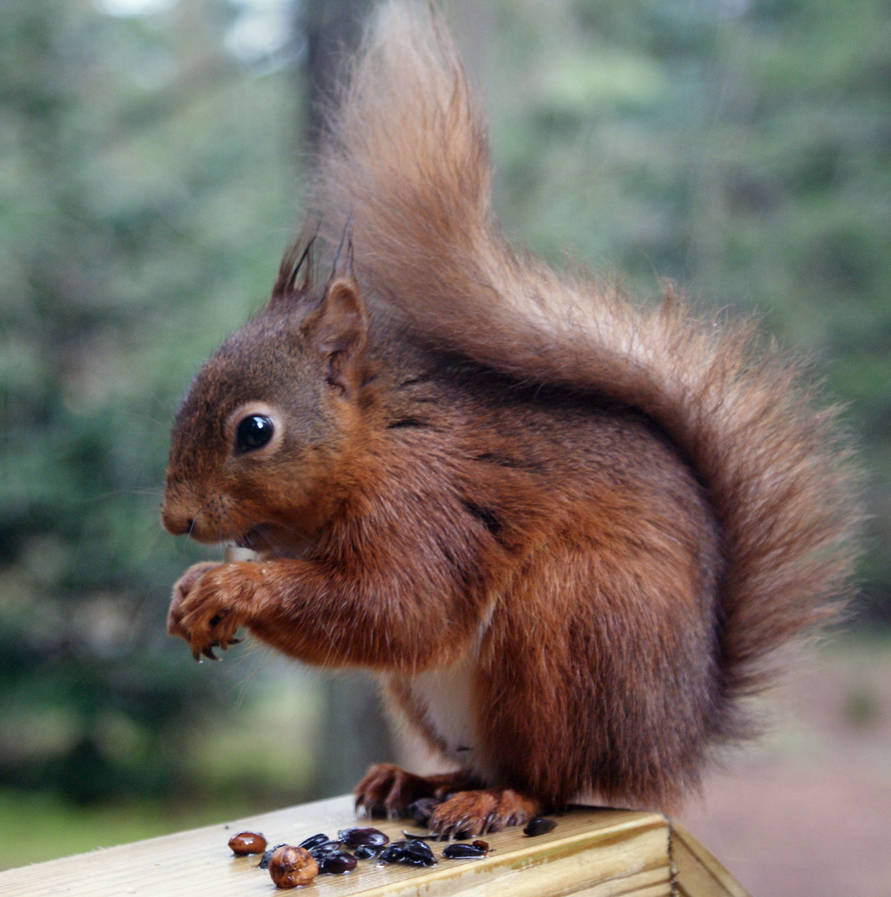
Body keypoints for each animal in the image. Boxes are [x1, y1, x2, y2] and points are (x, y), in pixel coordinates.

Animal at [162, 3, 864, 836]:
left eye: (255, 431)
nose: (175, 519)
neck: (375, 447)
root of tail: (676, 731)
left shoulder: (426, 510)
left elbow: (401, 610)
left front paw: (229, 587)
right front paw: (195, 592)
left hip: (567, 624)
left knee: (550, 779)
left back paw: (497, 797)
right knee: (483, 758)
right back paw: (414, 779)